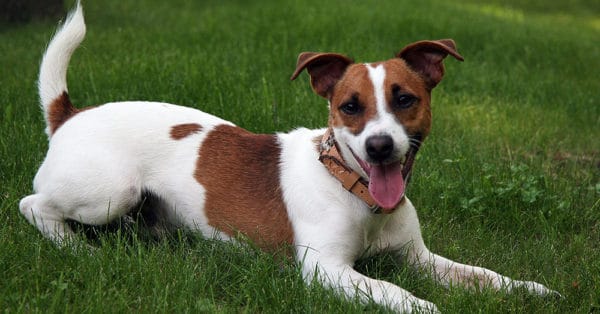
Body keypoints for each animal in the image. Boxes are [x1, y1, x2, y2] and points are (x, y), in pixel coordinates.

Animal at [21, 3, 560, 312]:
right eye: (350, 107)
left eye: (406, 99)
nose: (380, 146)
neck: (354, 190)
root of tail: (69, 114)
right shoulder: (328, 271)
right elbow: (396, 293)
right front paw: (428, 308)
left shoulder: (420, 259)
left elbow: (484, 276)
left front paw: (531, 290)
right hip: (111, 193)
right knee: (34, 206)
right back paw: (76, 248)